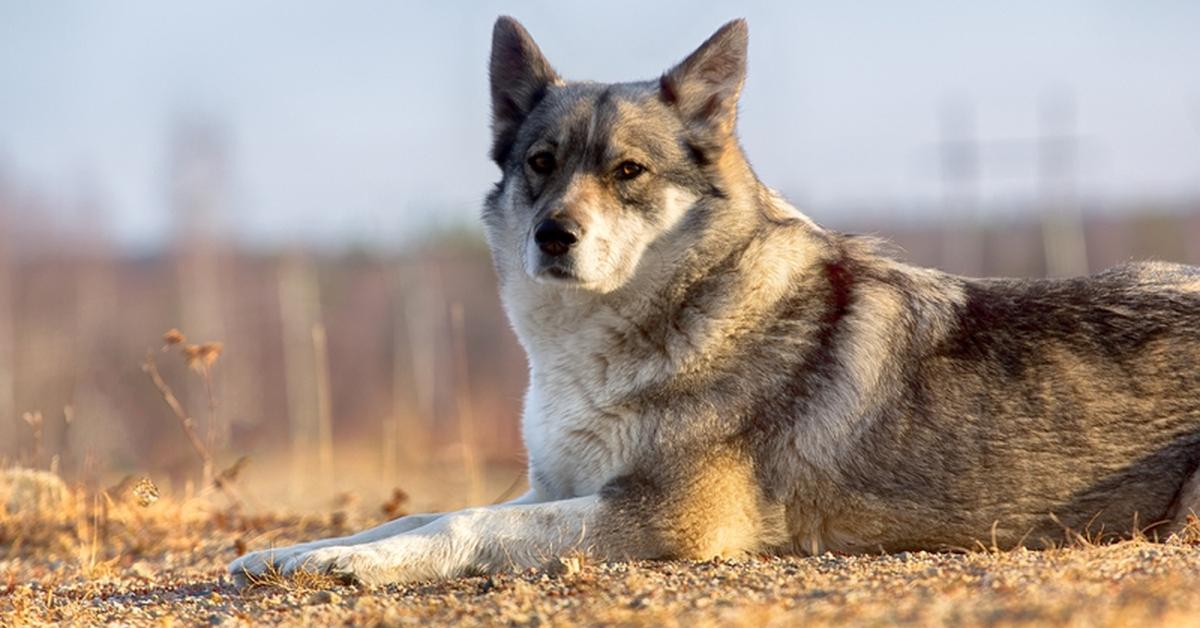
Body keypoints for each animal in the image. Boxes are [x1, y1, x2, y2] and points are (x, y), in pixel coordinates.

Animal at [226, 15, 1200, 585]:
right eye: (541, 164)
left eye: (627, 172)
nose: (553, 236)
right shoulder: (557, 484)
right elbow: (423, 508)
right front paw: (294, 552)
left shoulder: (664, 516)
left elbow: (461, 521)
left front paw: (357, 565)